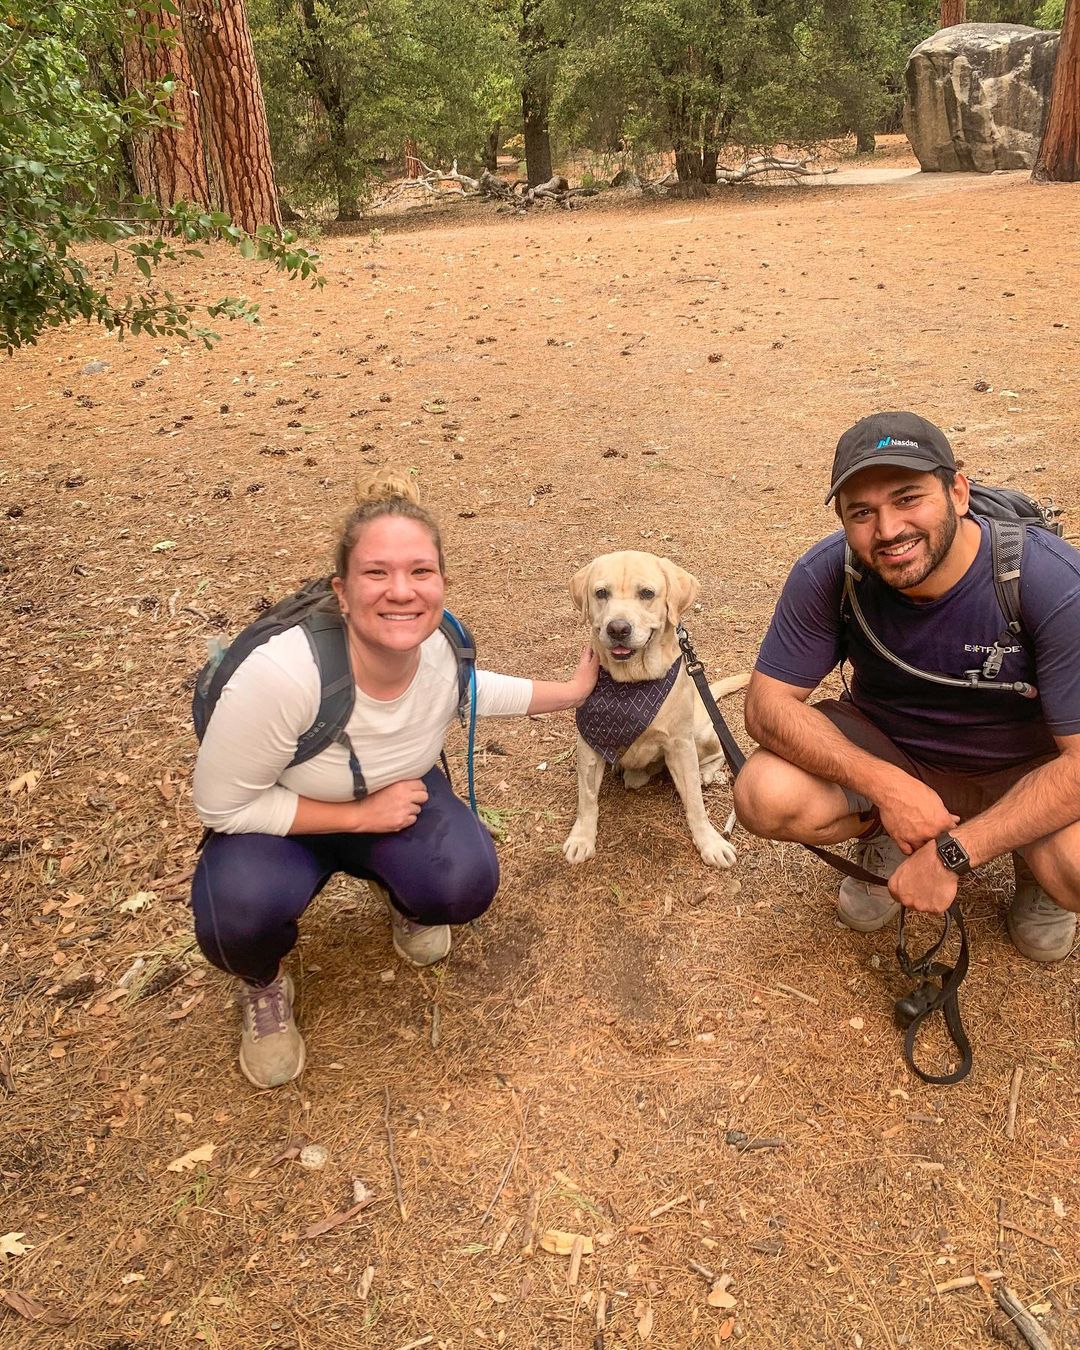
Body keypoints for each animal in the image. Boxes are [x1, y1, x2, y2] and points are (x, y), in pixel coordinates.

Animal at [561, 553, 745, 869]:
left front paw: (709, 842)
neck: (632, 683)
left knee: (718, 753)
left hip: (701, 734)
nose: (618, 628)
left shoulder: (680, 744)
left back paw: (707, 773)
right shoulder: (590, 742)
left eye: (647, 593)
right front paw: (582, 838)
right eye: (601, 593)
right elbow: (587, 799)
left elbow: (695, 802)